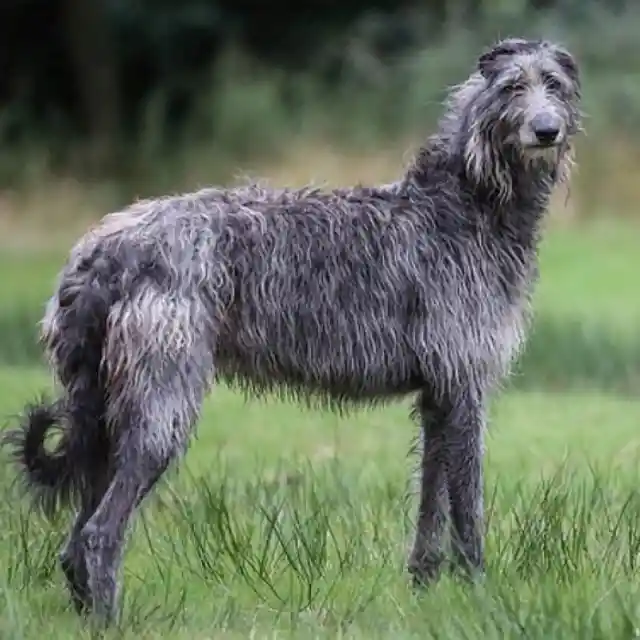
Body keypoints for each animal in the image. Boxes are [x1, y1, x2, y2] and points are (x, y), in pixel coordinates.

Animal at [3, 37, 584, 624]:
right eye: (512, 86)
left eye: (554, 84)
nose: (546, 131)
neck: (466, 200)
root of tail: (100, 253)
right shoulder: (464, 384)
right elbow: (467, 506)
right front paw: (479, 597)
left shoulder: (440, 395)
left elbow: (431, 503)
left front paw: (423, 592)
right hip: (160, 407)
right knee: (100, 532)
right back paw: (109, 622)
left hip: (104, 413)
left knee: (74, 539)